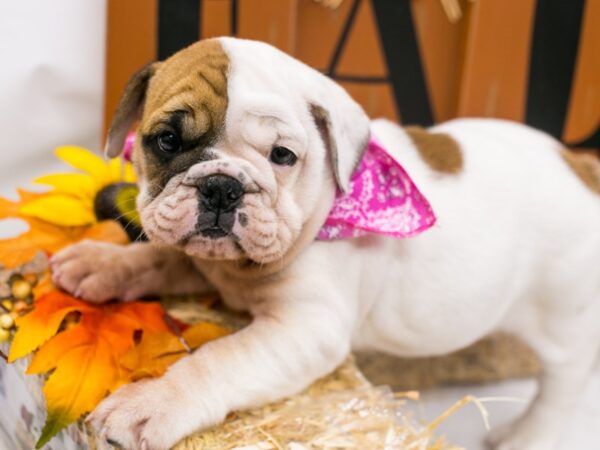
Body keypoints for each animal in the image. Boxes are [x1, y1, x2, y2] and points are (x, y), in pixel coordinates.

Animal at [51, 38, 600, 450]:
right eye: (167, 140)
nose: (222, 187)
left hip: (565, 321)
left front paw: (152, 403)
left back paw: (525, 435)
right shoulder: (200, 258)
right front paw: (101, 263)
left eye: (282, 155)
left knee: (563, 384)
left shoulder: (305, 328)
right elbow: (155, 257)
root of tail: (582, 167)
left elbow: (220, 359)